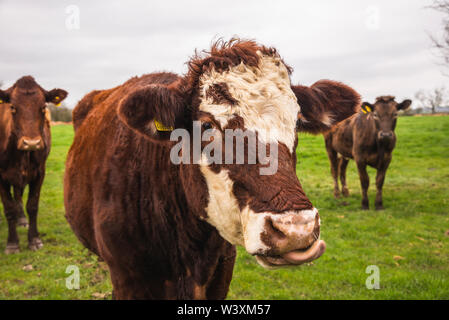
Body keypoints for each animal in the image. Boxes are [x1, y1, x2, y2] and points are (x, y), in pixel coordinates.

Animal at [0, 76, 68, 254]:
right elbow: (8, 208)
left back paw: (22, 219)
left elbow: (32, 205)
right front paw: (12, 243)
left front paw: (34, 240)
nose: (31, 143)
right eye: (12, 107)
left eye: (43, 107)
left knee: (18, 194)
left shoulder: (39, 172)